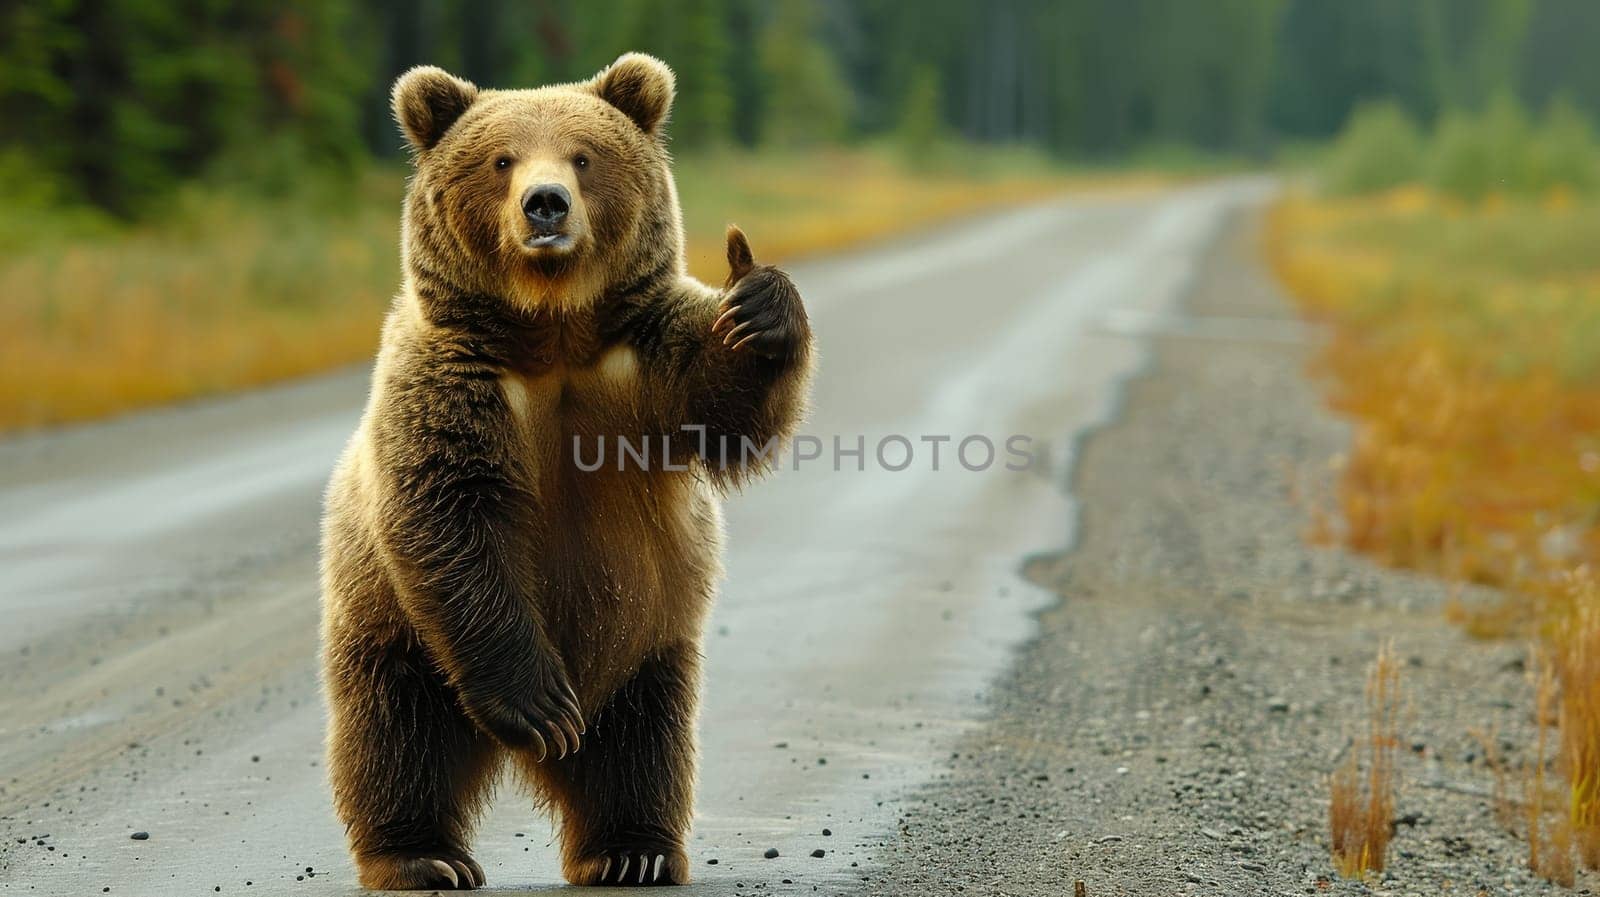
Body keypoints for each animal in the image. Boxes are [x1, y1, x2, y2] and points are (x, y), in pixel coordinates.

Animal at [316, 55, 812, 889]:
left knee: (643, 743)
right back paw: (423, 854)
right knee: (393, 735)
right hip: (396, 632)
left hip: (648, 641)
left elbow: (730, 411)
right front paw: (540, 704)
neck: (552, 330)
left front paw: (758, 299)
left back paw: (633, 849)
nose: (544, 203)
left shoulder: (645, 360)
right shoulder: (449, 380)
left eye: (583, 156)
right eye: (500, 159)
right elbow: (448, 513)